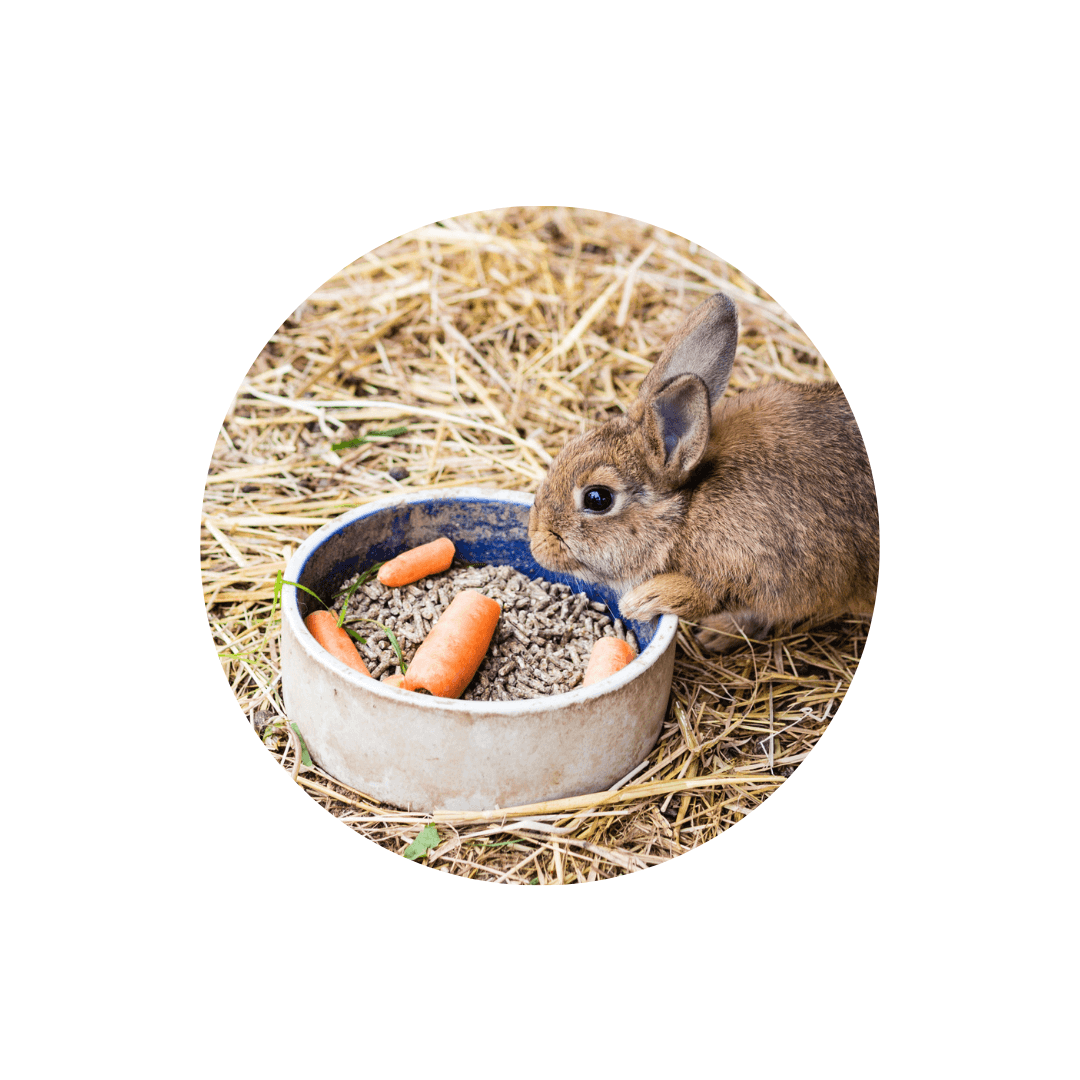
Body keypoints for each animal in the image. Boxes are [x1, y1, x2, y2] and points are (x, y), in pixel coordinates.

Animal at [527, 291, 879, 652]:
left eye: (598, 498)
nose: (536, 543)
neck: (689, 508)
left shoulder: (775, 574)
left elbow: (719, 598)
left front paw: (645, 600)